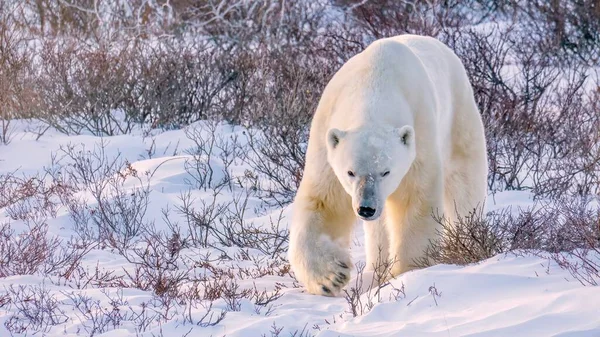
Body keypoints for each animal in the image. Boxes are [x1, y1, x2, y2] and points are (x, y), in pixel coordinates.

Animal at [288, 35, 490, 296]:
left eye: (386, 171)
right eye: (350, 172)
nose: (366, 208)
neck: (374, 85)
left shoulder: (419, 135)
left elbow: (416, 201)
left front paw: (407, 272)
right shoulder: (327, 137)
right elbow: (324, 202)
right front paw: (331, 276)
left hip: (459, 117)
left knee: (465, 188)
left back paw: (467, 242)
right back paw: (376, 266)